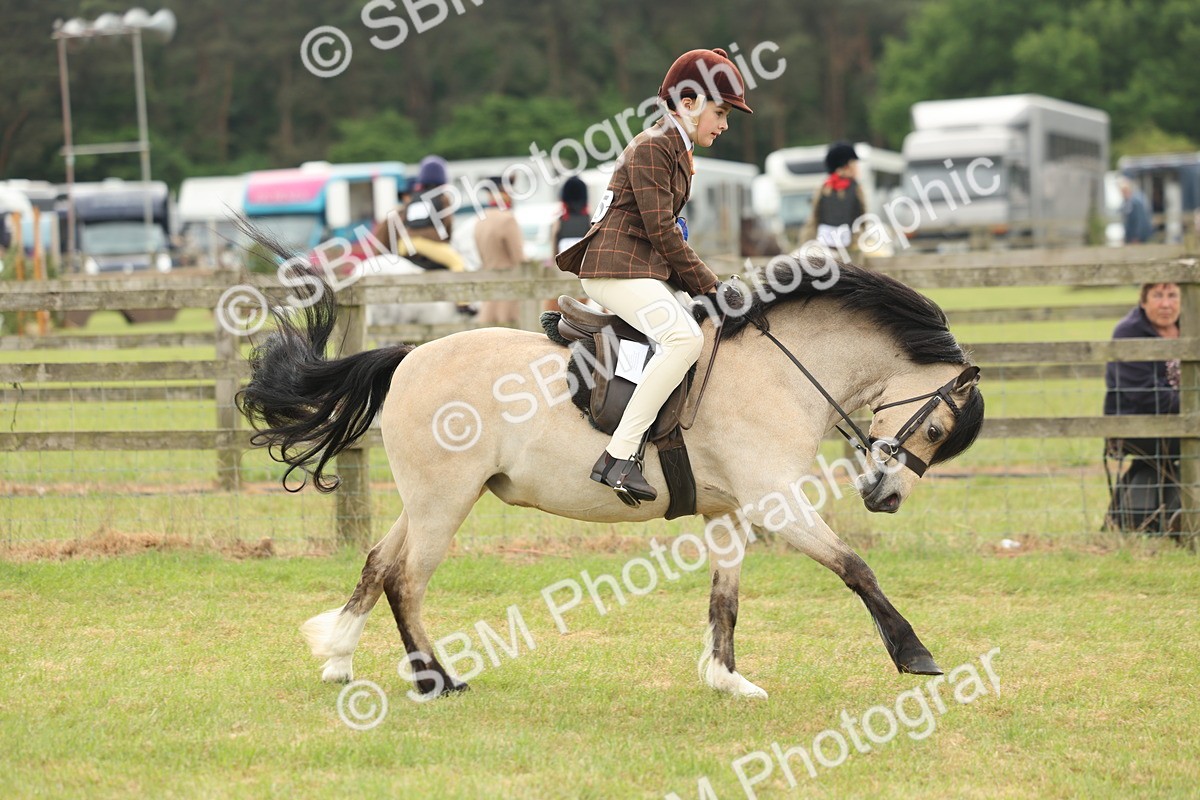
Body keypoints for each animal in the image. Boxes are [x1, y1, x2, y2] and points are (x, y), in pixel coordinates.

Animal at [237, 241, 984, 701]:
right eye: (937, 428)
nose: (887, 497)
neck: (782, 369)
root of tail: (410, 355)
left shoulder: (729, 512)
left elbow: (725, 599)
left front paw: (727, 680)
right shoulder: (776, 503)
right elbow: (856, 568)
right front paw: (915, 654)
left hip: (427, 502)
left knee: (377, 562)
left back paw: (339, 655)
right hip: (444, 504)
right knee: (406, 581)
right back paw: (436, 681)